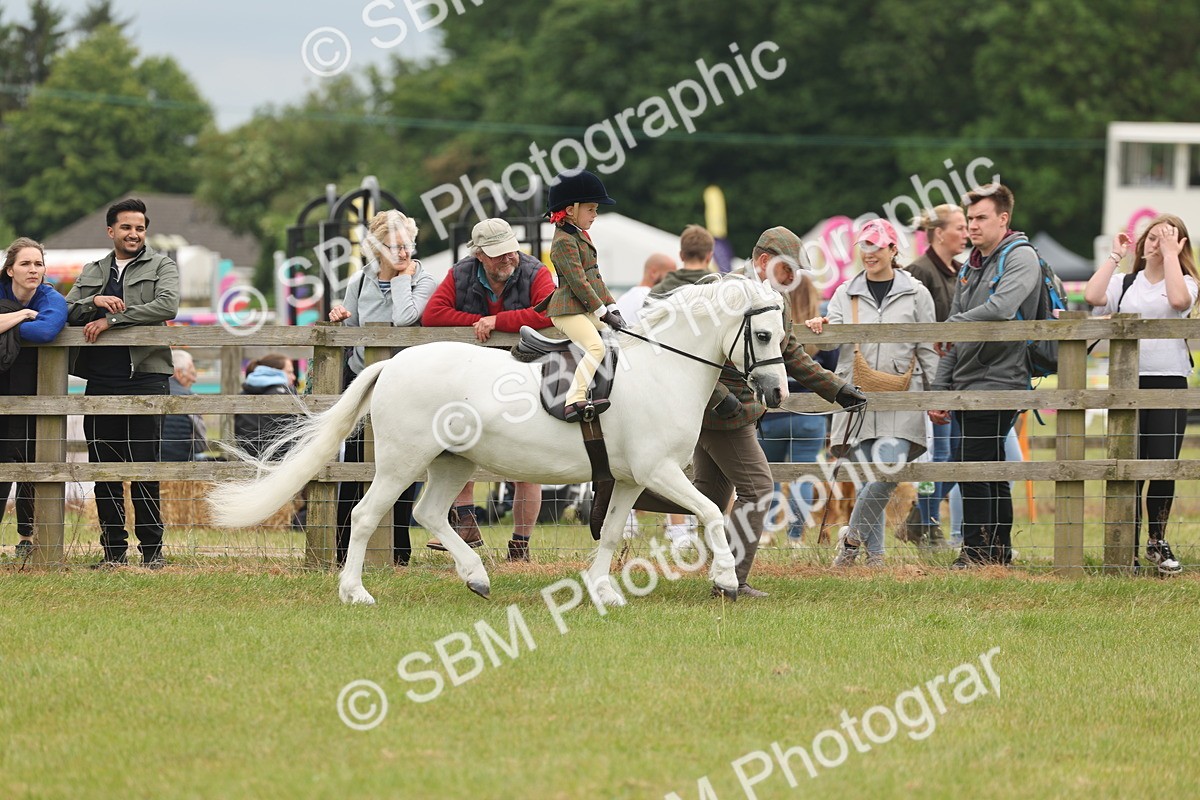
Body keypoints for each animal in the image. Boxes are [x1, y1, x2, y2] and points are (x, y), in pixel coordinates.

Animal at [207, 277, 790, 605]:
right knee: (368, 515)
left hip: (453, 462)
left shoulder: (628, 479)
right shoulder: (659, 472)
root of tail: (392, 363)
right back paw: (356, 593)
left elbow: (607, 535)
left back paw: (477, 577)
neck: (661, 368)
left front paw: (603, 592)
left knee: (429, 513)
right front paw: (726, 579)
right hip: (402, 462)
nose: (777, 392)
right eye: (762, 335)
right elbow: (711, 513)